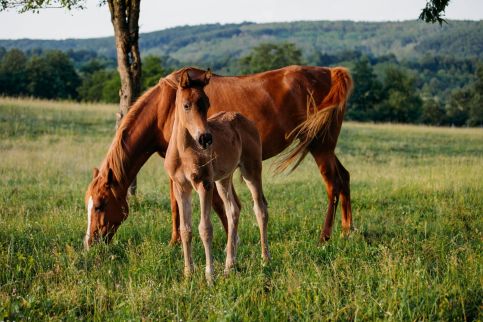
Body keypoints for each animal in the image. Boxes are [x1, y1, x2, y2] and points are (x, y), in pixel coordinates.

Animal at [83, 63, 354, 249]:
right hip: (326, 148)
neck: (165, 107)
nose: (90, 242)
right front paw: (175, 241)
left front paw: (231, 241)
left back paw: (325, 237)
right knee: (344, 177)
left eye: (100, 205)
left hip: (320, 147)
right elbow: (176, 205)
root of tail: (331, 72)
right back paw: (347, 231)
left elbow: (218, 206)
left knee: (333, 184)